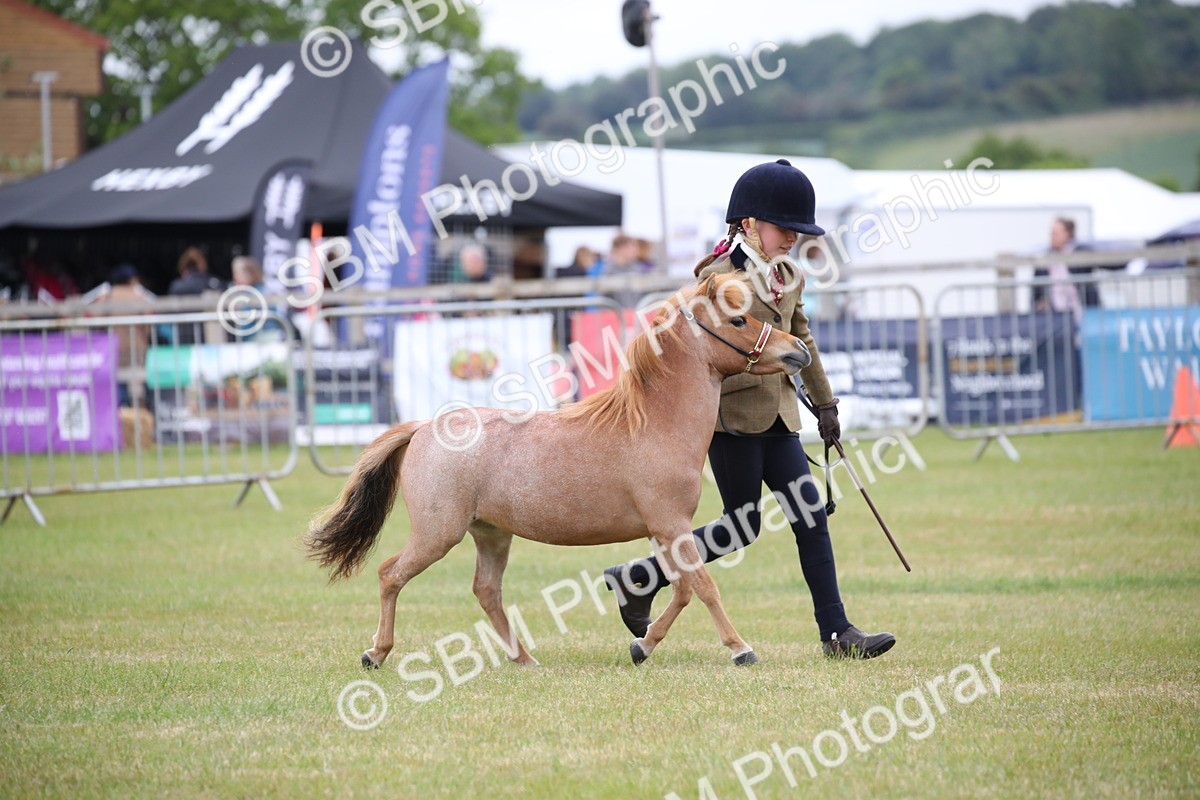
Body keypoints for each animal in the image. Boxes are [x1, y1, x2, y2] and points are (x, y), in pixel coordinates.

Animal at [304, 273, 812, 668]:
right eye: (738, 319)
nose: (799, 351)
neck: (653, 424)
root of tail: (424, 428)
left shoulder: (666, 531)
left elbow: (685, 588)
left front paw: (642, 645)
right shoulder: (671, 525)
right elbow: (704, 587)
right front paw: (740, 648)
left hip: (491, 534)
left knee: (486, 591)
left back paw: (525, 659)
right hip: (438, 534)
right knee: (390, 575)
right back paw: (376, 653)